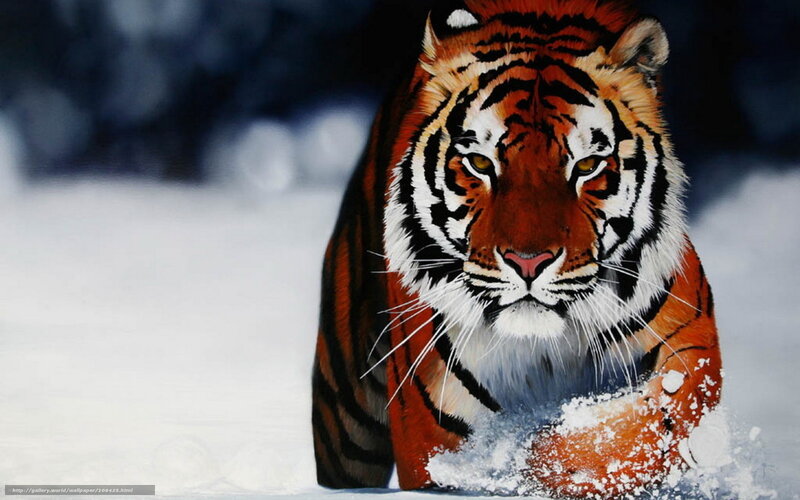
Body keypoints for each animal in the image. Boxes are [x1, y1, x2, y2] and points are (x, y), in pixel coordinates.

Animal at [311, 0, 722, 497]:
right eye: (479, 163)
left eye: (587, 166)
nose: (529, 263)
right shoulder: (429, 426)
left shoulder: (689, 345)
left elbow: (635, 430)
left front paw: (532, 458)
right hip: (345, 416)